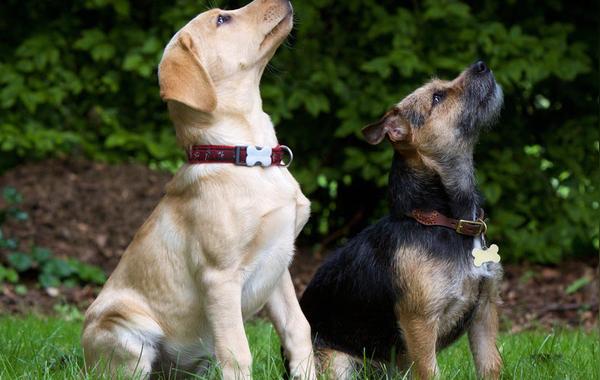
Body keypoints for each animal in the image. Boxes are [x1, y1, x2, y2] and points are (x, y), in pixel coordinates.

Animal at [302, 60, 504, 378]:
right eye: (437, 97)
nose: (481, 64)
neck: (441, 221)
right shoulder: (419, 324)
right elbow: (431, 372)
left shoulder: (485, 310)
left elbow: (490, 366)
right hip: (337, 362)